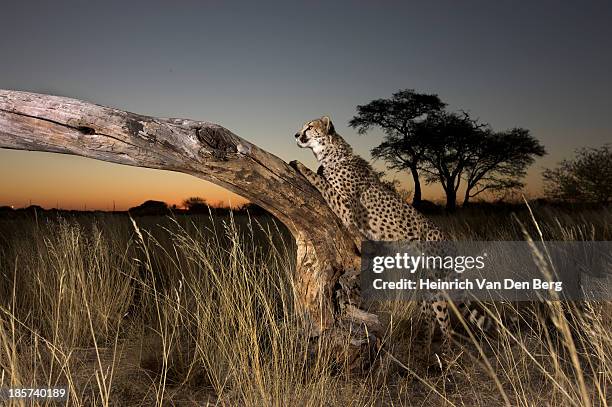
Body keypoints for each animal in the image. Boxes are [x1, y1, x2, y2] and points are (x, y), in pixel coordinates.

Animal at [290, 116, 490, 356]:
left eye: (309, 127)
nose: (296, 135)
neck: (332, 153)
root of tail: (446, 239)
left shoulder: (346, 208)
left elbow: (320, 181)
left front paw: (301, 166)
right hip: (421, 280)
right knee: (429, 316)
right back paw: (422, 347)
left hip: (436, 283)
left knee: (445, 321)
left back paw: (446, 355)